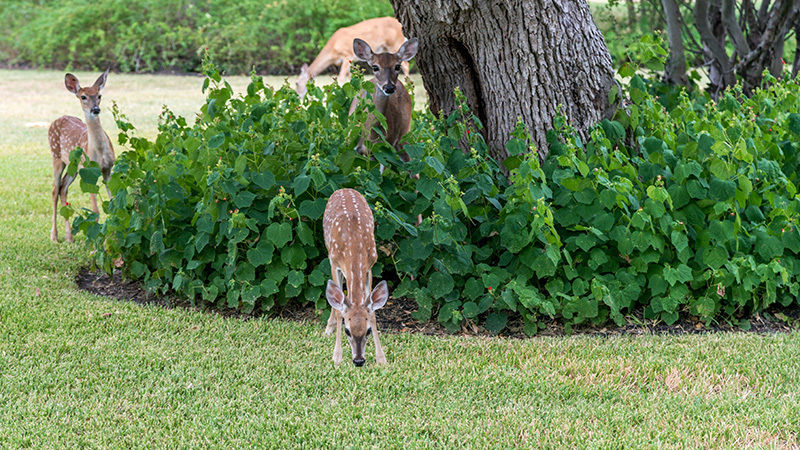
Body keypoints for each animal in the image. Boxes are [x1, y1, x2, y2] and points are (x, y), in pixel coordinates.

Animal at [49, 71, 115, 243]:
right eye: (83, 96)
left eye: (99, 95)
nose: (95, 109)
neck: (99, 152)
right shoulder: (89, 172)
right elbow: (95, 210)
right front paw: (96, 243)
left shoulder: (107, 169)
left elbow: (114, 203)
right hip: (56, 156)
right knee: (54, 190)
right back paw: (54, 236)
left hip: (74, 167)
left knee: (63, 188)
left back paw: (69, 237)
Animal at [324, 187, 390, 366]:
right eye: (347, 331)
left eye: (368, 331)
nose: (359, 360)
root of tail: (344, 188)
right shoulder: (335, 264)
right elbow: (339, 310)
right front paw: (337, 356)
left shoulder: (370, 266)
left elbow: (373, 312)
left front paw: (381, 357)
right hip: (329, 253)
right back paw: (329, 328)